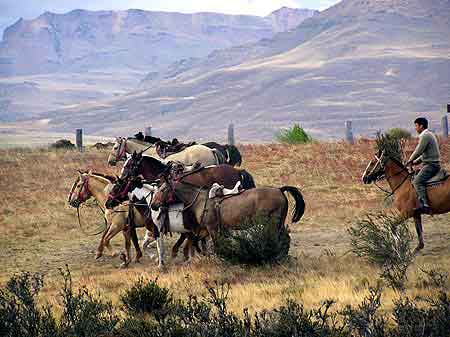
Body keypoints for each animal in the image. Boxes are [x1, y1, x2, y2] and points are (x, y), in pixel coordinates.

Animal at [151, 176, 306, 242]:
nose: (153, 204)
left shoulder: (212, 228)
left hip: (273, 223)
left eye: (163, 189)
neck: (201, 200)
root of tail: (279, 190)